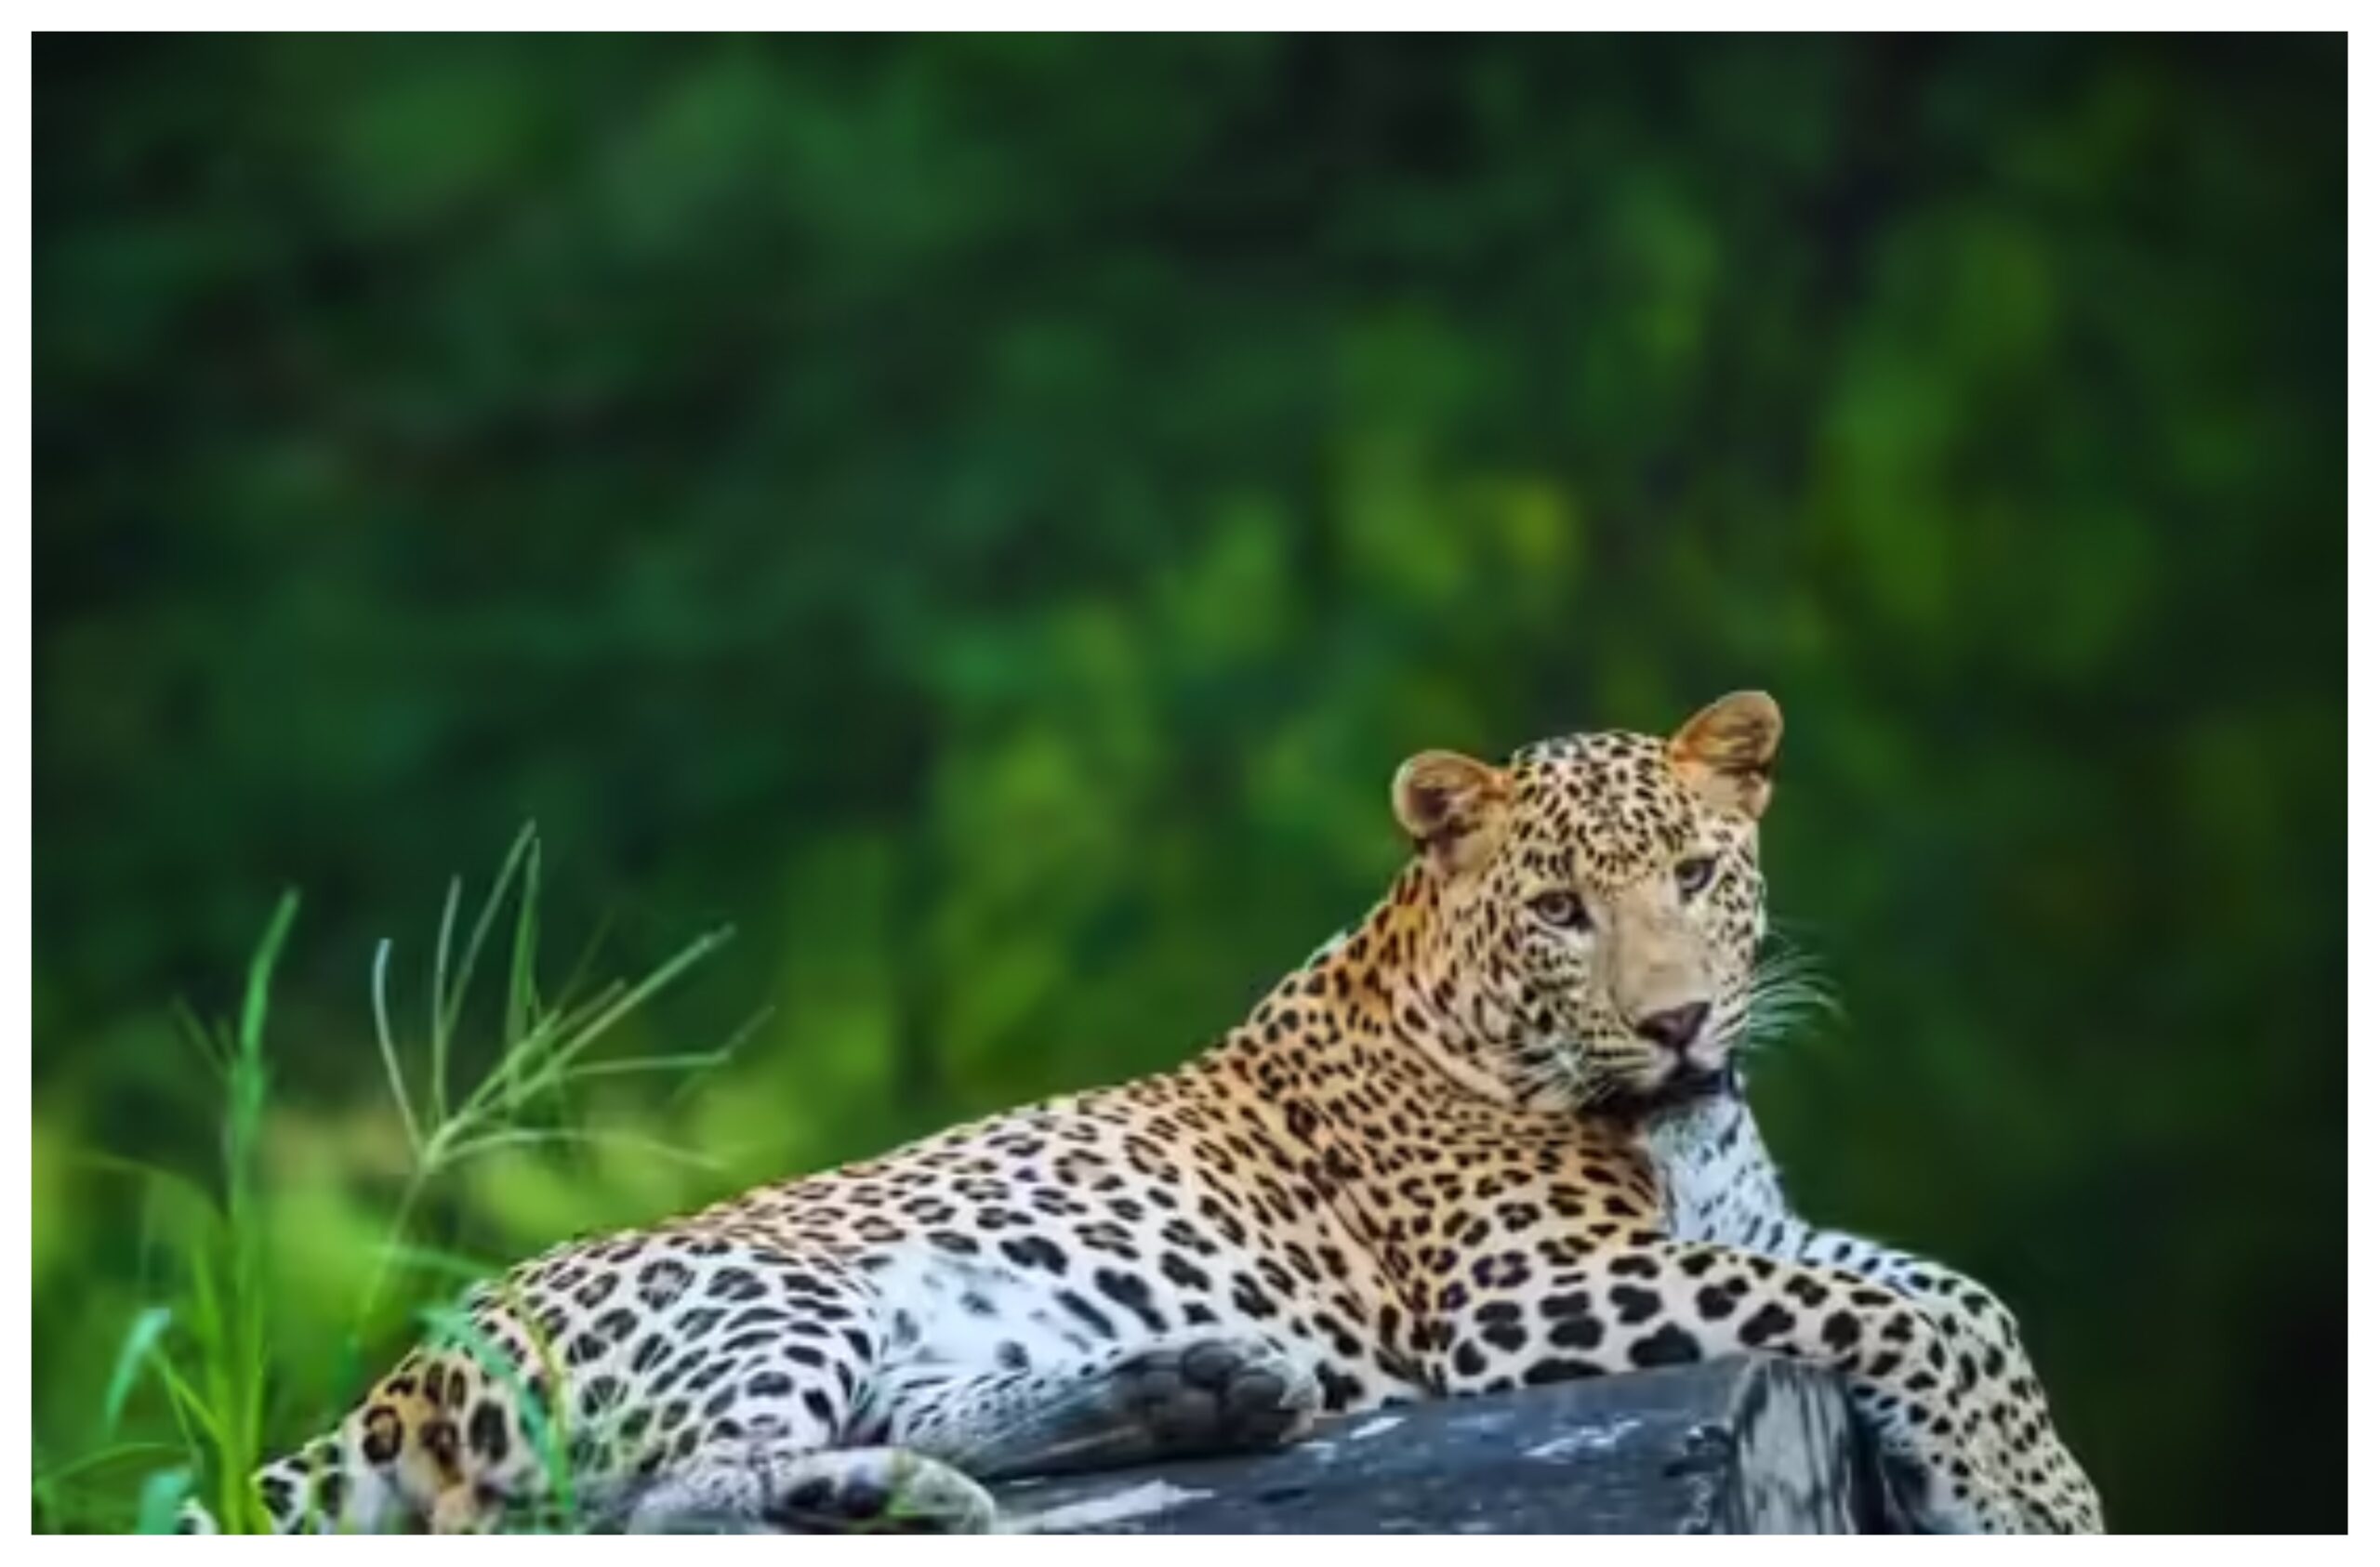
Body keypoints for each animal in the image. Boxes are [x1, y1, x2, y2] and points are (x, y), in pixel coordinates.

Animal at [184, 690, 2100, 1535]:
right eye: (1563, 910)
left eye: (1698, 875)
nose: (1679, 1018)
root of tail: (406, 1372)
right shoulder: (1522, 1296)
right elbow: (1902, 1316)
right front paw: (2022, 1502)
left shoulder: (1750, 1229)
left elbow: (1963, 1296)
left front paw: (2040, 1484)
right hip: (758, 1288)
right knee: (649, 1503)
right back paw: (893, 1498)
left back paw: (1193, 1391)